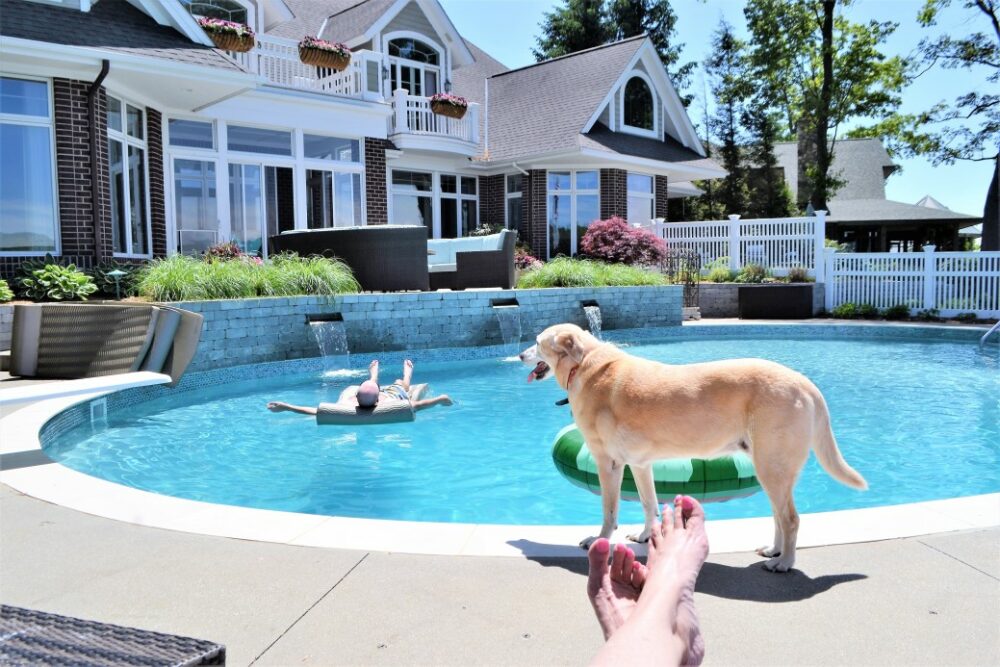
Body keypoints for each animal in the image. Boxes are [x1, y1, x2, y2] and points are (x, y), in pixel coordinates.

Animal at [524, 324, 868, 576]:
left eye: (537, 342)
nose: (519, 354)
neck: (584, 364)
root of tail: (805, 383)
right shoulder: (640, 465)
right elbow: (649, 503)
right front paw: (646, 536)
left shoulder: (608, 463)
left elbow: (610, 512)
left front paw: (599, 541)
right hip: (773, 471)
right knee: (779, 517)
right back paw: (775, 551)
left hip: (772, 468)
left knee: (792, 519)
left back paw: (784, 563)